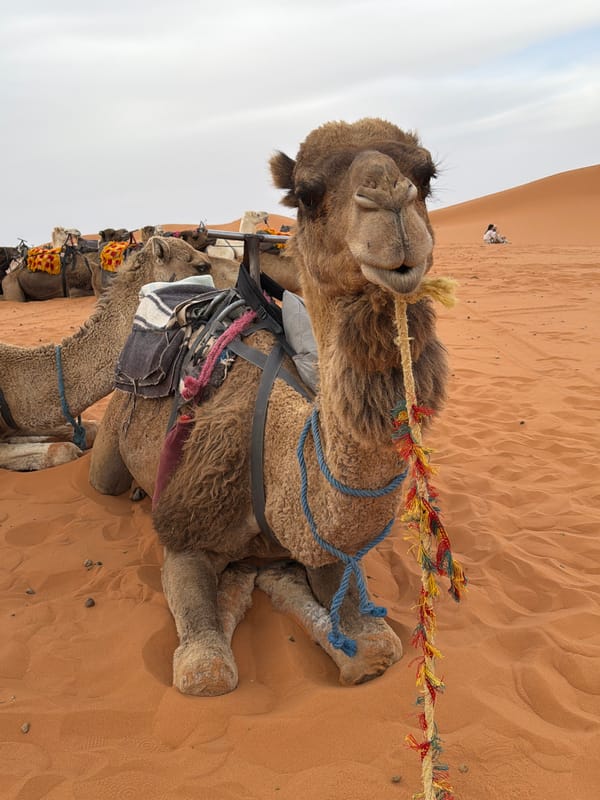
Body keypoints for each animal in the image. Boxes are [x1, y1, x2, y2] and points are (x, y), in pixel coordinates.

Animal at [87, 117, 448, 696]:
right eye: (306, 193)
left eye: (427, 175)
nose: (391, 202)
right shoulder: (185, 531)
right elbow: (207, 671)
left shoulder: (322, 546)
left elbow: (378, 643)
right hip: (116, 437)